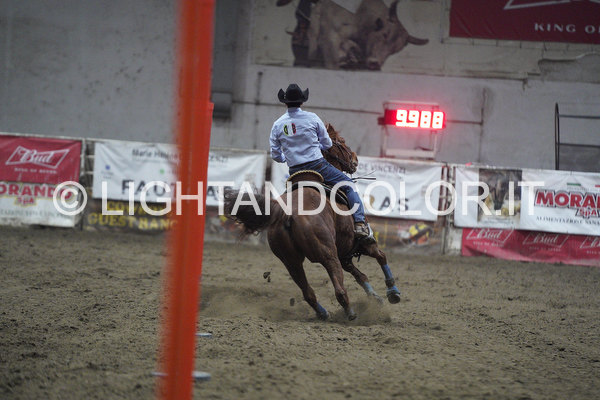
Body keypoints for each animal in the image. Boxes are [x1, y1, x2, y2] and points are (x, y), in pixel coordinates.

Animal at [224, 124, 401, 321]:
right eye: (341, 141)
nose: (355, 159)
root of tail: (286, 212)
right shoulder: (361, 245)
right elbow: (380, 256)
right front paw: (392, 292)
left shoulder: (344, 253)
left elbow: (360, 276)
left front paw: (376, 298)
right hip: (327, 255)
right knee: (339, 290)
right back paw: (350, 313)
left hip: (291, 261)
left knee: (308, 292)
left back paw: (323, 313)